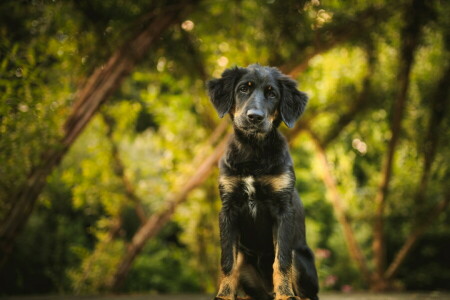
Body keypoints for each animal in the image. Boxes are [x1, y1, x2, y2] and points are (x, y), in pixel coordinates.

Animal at [207, 63, 320, 300]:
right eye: (243, 89)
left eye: (272, 94)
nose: (255, 117)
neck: (253, 150)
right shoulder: (228, 209)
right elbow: (227, 262)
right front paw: (223, 295)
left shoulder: (283, 210)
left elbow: (282, 261)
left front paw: (285, 295)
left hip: (300, 257)